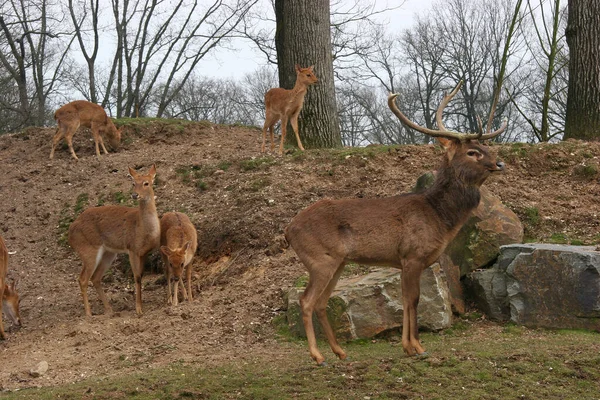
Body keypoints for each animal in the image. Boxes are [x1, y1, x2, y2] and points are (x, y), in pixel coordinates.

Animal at [68, 164, 161, 318]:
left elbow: (141, 276)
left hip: (108, 253)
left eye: (146, 183)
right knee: (83, 279)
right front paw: (138, 310)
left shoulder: (144, 252)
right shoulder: (132, 249)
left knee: (95, 277)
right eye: (133, 183)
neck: (144, 228)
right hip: (88, 251)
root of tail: (70, 231)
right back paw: (89, 314)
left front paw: (141, 307)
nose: (135, 195)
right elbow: (136, 276)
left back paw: (109, 310)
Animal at [284, 80, 506, 366]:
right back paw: (317, 355)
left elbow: (404, 299)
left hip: (337, 262)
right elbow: (413, 300)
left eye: (486, 149)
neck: (439, 217)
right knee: (306, 300)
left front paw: (407, 347)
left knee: (322, 302)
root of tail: (288, 230)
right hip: (319, 259)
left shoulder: (404, 261)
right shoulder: (413, 255)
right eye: (472, 152)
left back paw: (340, 351)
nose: (499, 163)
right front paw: (417, 346)